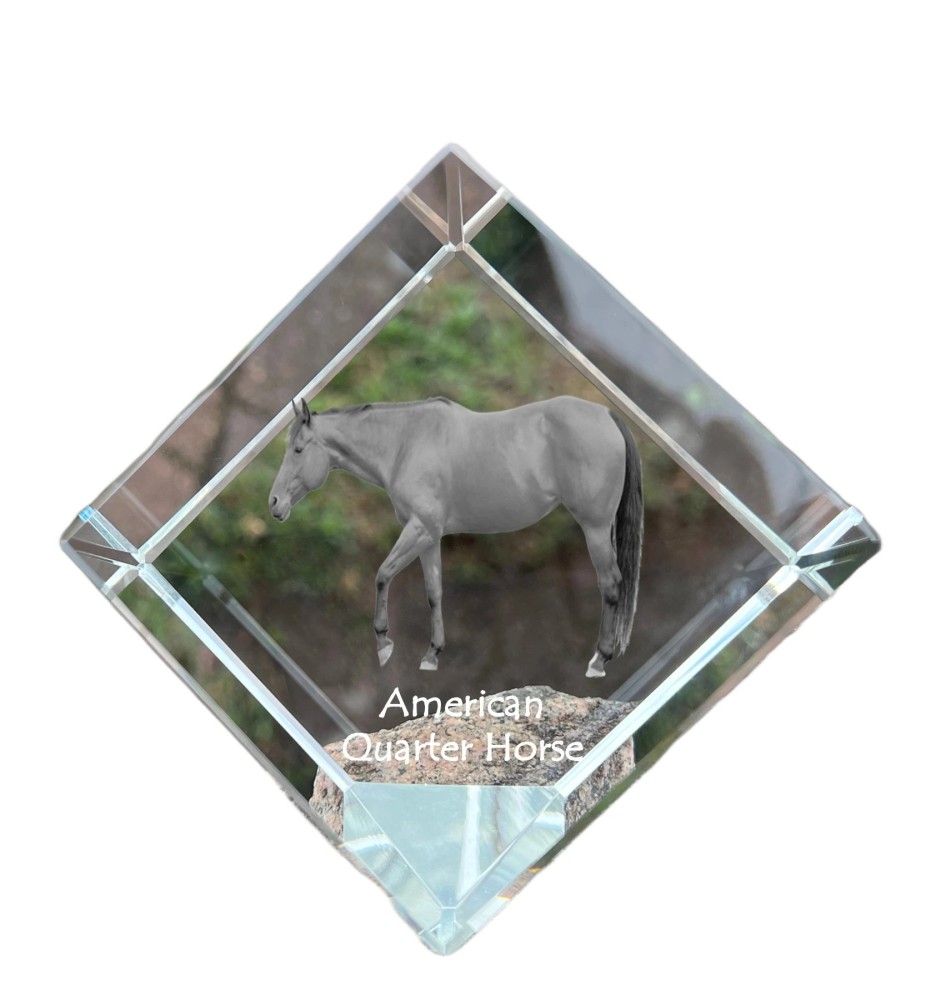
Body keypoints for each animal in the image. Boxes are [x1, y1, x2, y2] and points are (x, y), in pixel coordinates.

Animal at [269, 395, 643, 678]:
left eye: (298, 449)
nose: (274, 503)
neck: (405, 444)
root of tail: (607, 415)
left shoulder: (419, 528)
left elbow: (382, 575)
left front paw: (384, 644)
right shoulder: (430, 537)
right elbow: (434, 592)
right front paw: (432, 654)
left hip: (595, 528)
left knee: (611, 584)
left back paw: (599, 660)